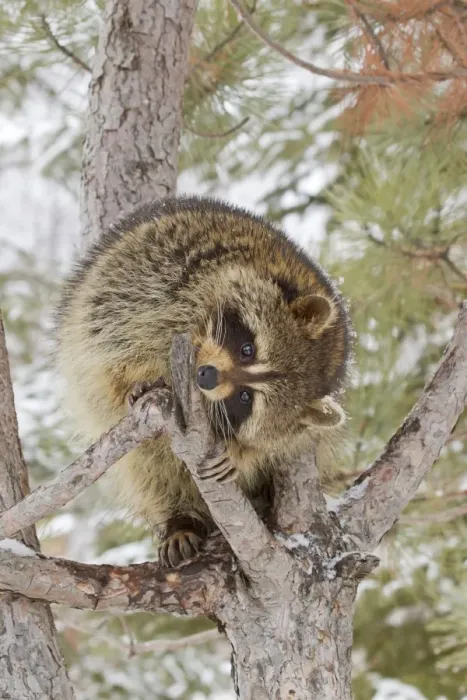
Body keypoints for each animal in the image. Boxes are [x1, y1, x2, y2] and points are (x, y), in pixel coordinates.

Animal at [56, 196, 351, 567]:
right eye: (247, 349)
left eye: (245, 398)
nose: (206, 376)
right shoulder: (158, 282)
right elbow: (111, 350)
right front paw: (136, 382)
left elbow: (271, 446)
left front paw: (237, 454)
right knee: (150, 469)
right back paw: (179, 519)